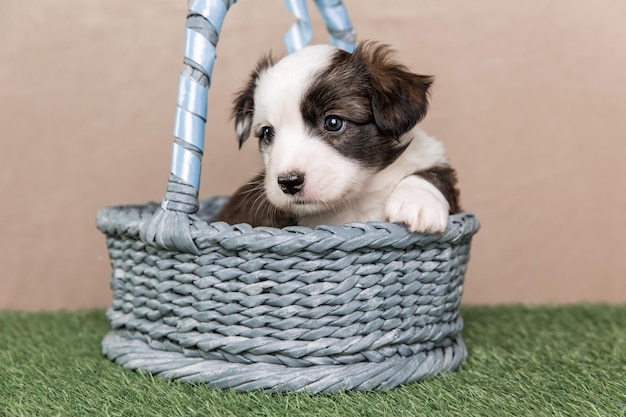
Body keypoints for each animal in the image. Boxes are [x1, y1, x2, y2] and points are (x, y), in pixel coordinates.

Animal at [214, 40, 458, 232]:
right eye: (267, 132)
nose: (289, 182)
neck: (355, 200)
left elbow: (433, 172)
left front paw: (418, 202)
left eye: (333, 123)